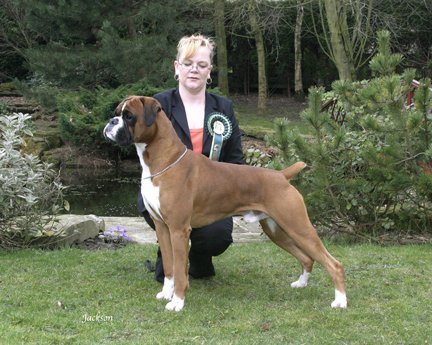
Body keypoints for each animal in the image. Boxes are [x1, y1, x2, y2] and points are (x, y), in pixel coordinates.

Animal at [104, 95, 348, 310]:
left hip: (299, 227)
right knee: (307, 258)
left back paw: (340, 302)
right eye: (117, 113)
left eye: (129, 116)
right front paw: (166, 293)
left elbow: (180, 271)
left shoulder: (178, 230)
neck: (165, 160)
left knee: (333, 263)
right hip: (277, 230)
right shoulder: (163, 228)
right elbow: (170, 268)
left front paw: (177, 302)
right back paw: (302, 283)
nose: (111, 121)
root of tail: (280, 175)